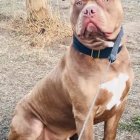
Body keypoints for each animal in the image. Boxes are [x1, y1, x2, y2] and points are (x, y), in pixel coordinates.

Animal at [8, 0, 133, 140]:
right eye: (78, 3)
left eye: (106, 1)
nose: (88, 11)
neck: (104, 56)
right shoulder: (84, 114)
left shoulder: (119, 106)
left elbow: (110, 134)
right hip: (32, 125)